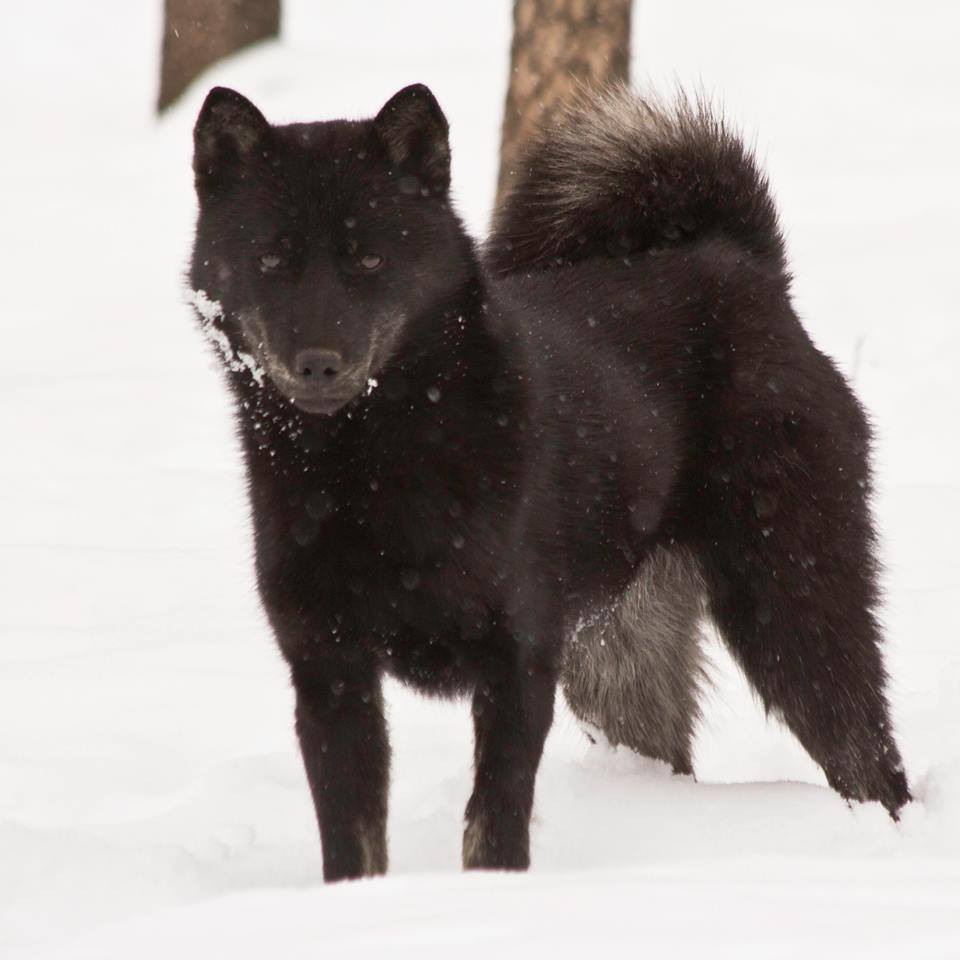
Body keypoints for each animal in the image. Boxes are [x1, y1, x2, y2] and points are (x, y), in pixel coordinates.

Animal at [191, 84, 912, 884]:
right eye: (271, 258)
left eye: (370, 256)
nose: (319, 363)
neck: (374, 470)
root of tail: (743, 265)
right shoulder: (329, 671)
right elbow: (352, 839)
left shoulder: (518, 662)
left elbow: (492, 826)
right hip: (618, 664)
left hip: (791, 606)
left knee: (870, 758)